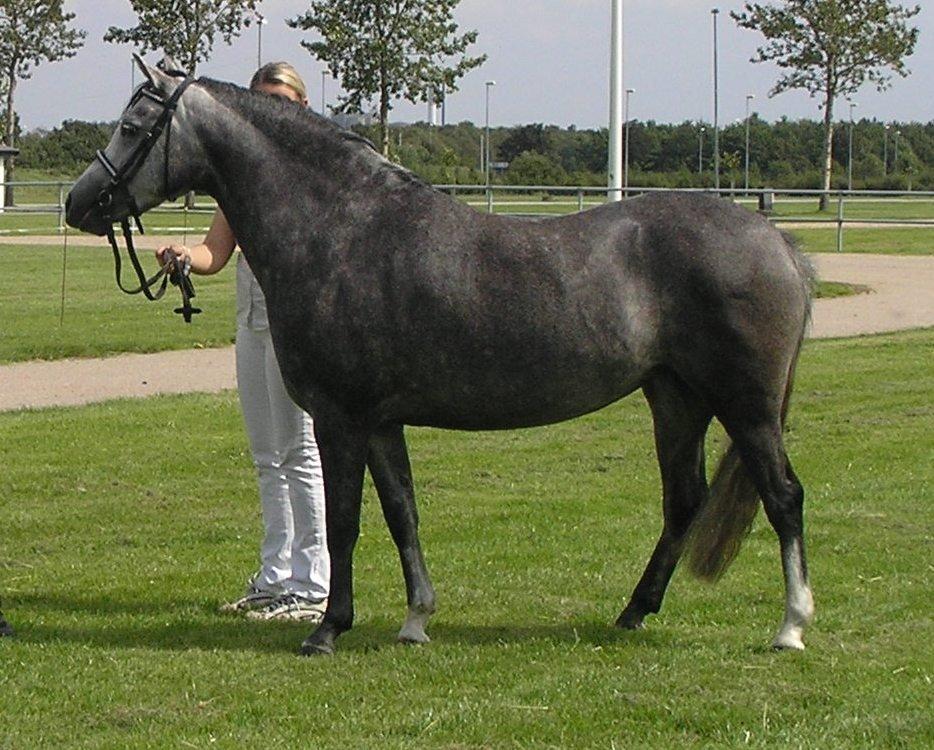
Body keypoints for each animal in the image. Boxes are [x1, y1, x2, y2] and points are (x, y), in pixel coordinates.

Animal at [63, 56, 816, 656]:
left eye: (133, 125)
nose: (77, 203)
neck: (340, 229)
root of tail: (775, 240)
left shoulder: (341, 418)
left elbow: (344, 523)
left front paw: (327, 629)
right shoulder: (382, 422)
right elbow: (403, 514)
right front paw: (416, 619)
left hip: (746, 408)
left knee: (782, 497)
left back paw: (790, 626)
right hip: (675, 398)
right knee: (683, 500)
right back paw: (633, 612)